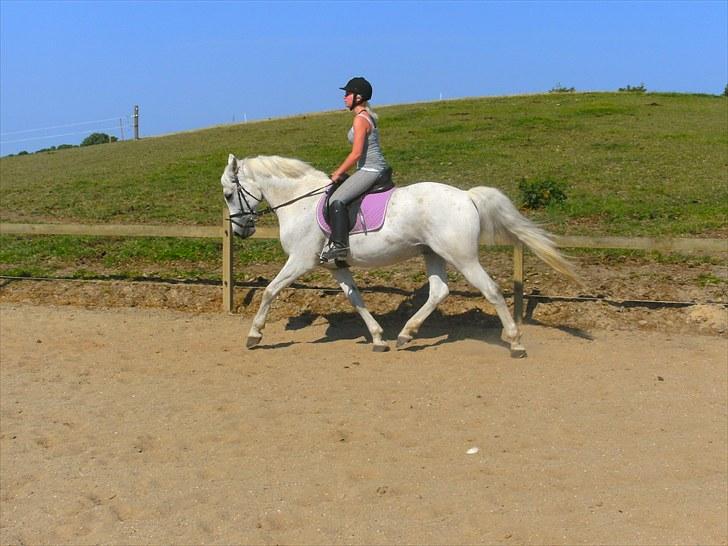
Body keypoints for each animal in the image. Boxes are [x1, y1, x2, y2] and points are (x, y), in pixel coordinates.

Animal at [219, 154, 576, 356]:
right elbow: (356, 298)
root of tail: (467, 196)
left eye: (228, 193)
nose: (240, 231)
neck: (300, 201)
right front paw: (378, 338)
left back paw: (515, 343)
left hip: (462, 257)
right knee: (439, 291)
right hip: (432, 254)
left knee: (491, 291)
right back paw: (406, 334)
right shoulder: (335, 266)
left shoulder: (300, 261)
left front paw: (254, 335)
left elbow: (269, 291)